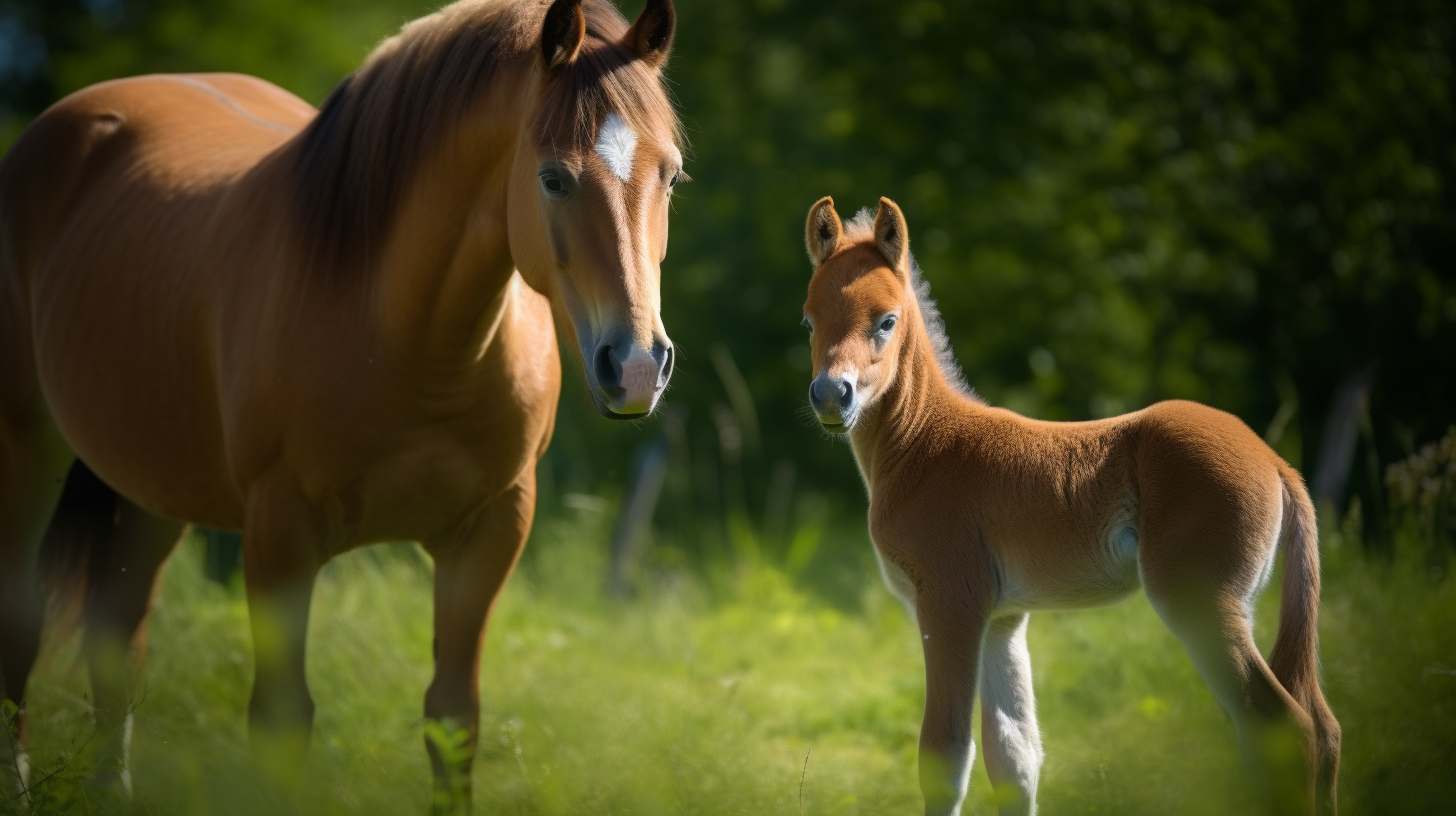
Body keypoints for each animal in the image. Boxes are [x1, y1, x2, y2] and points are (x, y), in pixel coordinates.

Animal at [1, 0, 681, 804]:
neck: (411, 341)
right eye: (553, 177)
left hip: (151, 484)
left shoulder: (492, 530)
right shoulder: (280, 534)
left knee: (118, 636)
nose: (635, 367)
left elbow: (453, 720)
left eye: (671, 175)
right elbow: (282, 717)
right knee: (20, 624)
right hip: (27, 448)